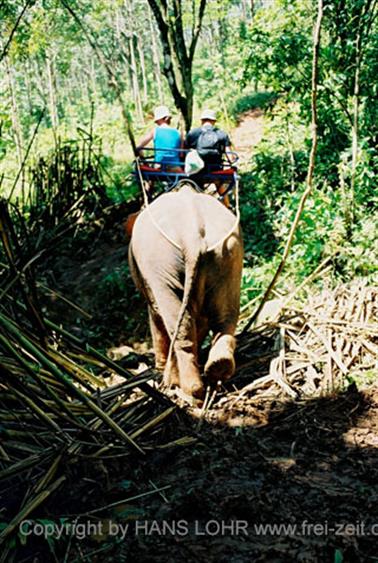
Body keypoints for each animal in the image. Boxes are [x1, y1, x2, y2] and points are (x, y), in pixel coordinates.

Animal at [128, 185, 244, 400]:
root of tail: (193, 234)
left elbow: (156, 321)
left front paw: (160, 372)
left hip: (160, 265)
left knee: (178, 326)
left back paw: (189, 389)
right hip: (229, 255)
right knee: (226, 316)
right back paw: (218, 369)